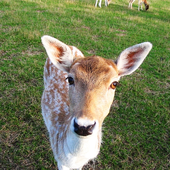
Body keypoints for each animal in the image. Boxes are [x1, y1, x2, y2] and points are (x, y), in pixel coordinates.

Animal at [40, 34, 152, 170]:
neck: (74, 158)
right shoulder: (60, 162)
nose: (83, 126)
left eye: (114, 84)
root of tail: (71, 46)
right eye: (70, 79)